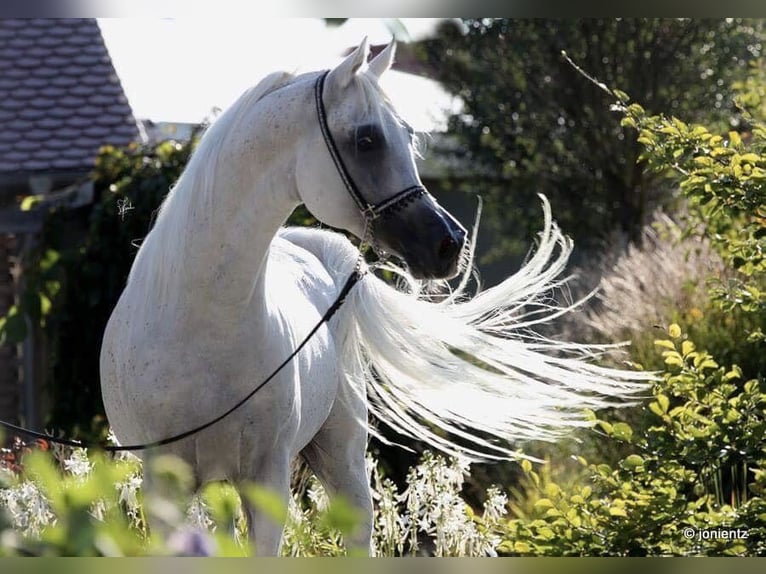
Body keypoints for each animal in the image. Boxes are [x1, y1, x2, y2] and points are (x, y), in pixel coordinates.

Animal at [100, 39, 652, 556]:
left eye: (408, 136)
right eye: (367, 139)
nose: (449, 244)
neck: (200, 322)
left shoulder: (266, 478)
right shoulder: (165, 487)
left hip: (343, 450)